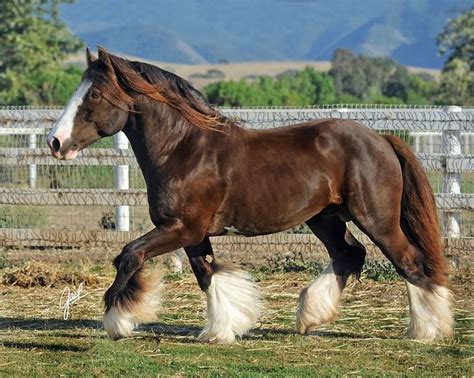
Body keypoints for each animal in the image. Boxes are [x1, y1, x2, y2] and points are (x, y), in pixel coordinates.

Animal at [47, 47, 452, 342]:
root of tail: (380, 138)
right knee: (348, 254)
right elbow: (206, 273)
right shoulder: (192, 233)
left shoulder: (182, 228)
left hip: (376, 219)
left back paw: (426, 330)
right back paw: (309, 317)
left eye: (94, 94)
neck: (185, 149)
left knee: (408, 262)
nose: (55, 142)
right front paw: (222, 330)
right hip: (325, 217)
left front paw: (117, 321)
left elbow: (130, 255)